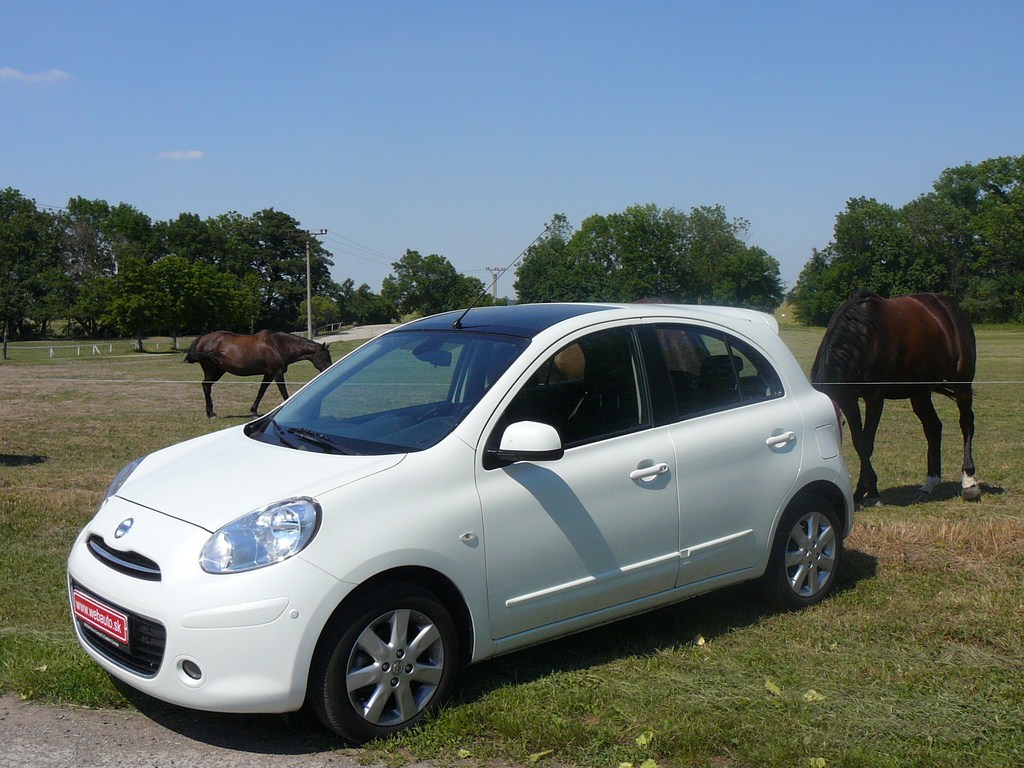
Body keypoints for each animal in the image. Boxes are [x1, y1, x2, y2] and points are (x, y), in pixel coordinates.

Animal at [182, 329, 329, 417]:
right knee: (206, 386)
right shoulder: (277, 373)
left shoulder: (269, 374)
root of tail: (201, 340)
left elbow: (261, 391)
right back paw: (211, 413)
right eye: (325, 357)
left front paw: (254, 411)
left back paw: (211, 412)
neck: (278, 345)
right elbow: (283, 392)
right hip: (213, 371)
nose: (328, 369)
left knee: (206, 386)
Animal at [811, 288, 978, 505]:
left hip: (962, 384)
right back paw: (928, 485)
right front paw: (865, 491)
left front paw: (868, 492)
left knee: (966, 424)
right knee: (933, 428)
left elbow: (866, 443)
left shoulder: (874, 398)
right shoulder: (849, 400)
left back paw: (969, 481)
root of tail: (953, 311)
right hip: (920, 392)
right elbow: (858, 442)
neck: (862, 336)